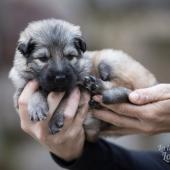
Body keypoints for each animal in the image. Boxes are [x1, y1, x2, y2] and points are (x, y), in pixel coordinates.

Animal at [9, 18, 157, 141]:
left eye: (70, 56)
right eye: (43, 58)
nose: (60, 78)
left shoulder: (77, 88)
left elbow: (64, 100)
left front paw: (54, 118)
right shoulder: (22, 90)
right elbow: (35, 91)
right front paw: (37, 106)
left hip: (109, 60)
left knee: (127, 87)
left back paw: (97, 85)